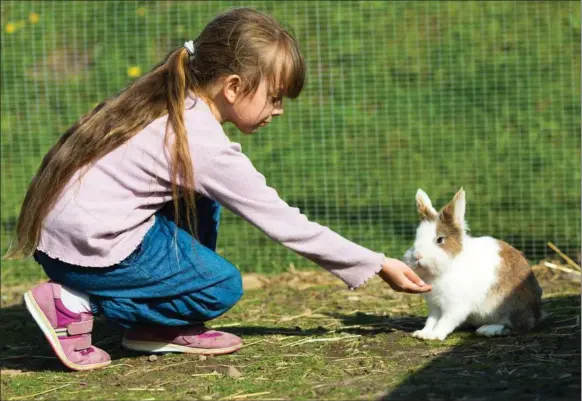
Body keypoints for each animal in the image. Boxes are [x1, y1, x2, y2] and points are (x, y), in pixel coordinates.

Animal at [404, 188, 544, 340]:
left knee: (518, 326)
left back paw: (488, 329)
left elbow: (445, 321)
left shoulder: (455, 306)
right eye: (416, 239)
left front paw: (435, 336)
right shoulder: (434, 306)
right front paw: (422, 333)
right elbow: (431, 320)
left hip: (510, 307)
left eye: (440, 239)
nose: (417, 256)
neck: (448, 265)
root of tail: (537, 312)